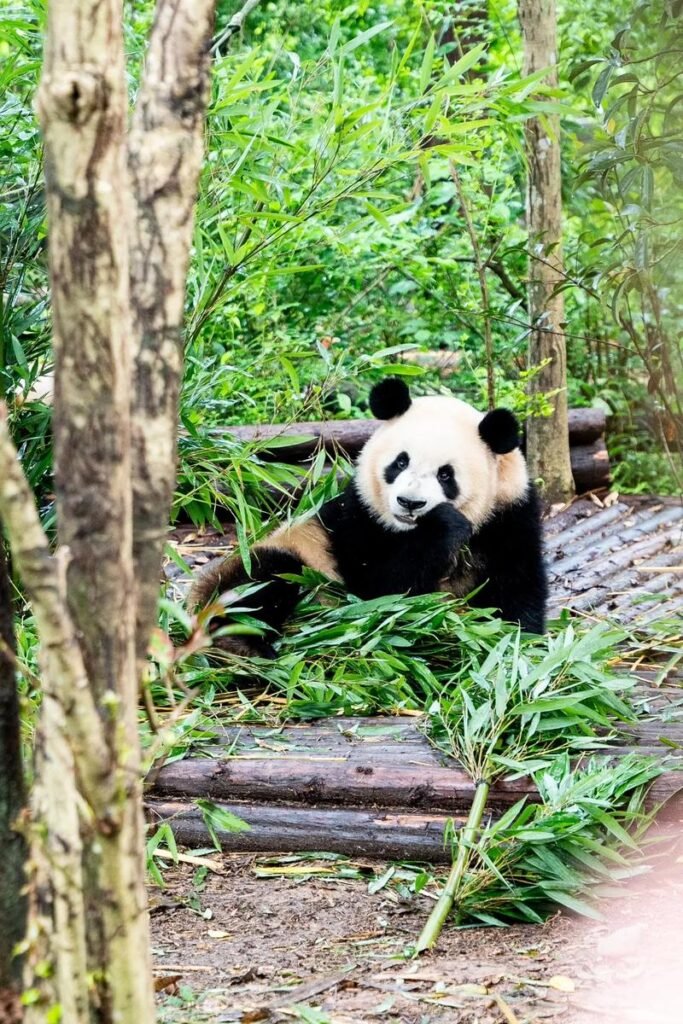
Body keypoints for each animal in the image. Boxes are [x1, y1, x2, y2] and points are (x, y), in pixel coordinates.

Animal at [188, 378, 548, 655]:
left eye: (446, 474)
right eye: (400, 462)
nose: (410, 503)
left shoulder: (509, 518)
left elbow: (515, 589)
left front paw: (518, 642)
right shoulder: (359, 520)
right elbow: (384, 591)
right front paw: (444, 525)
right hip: (294, 559)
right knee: (261, 582)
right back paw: (242, 641)